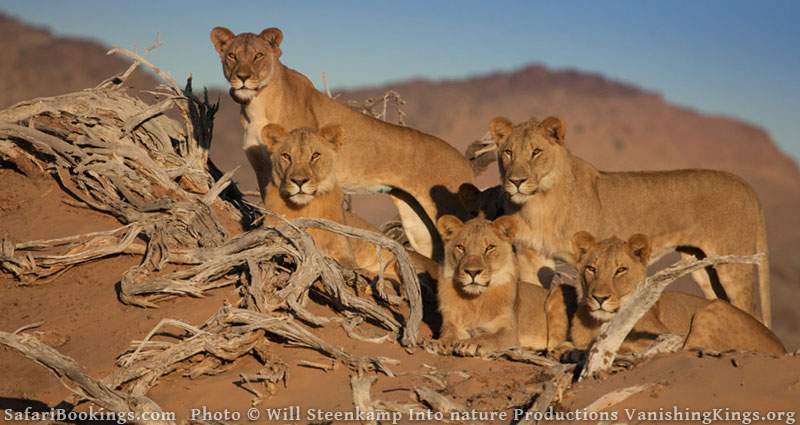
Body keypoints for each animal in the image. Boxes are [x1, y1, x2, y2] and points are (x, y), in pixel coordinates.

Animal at [209, 26, 478, 260]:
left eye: (258, 55)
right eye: (232, 56)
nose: (242, 78)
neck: (255, 104)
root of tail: (464, 162)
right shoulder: (264, 169)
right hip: (418, 225)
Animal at [260, 123, 440, 282]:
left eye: (315, 155)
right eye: (286, 156)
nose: (299, 181)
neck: (304, 208)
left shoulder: (344, 252)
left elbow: (349, 266)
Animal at [434, 214, 560, 352]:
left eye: (490, 248)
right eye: (461, 247)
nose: (472, 272)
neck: (475, 301)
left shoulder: (510, 333)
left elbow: (490, 337)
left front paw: (470, 343)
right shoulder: (451, 321)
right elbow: (448, 332)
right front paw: (443, 342)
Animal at [484, 115, 772, 324]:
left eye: (536, 152)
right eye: (508, 152)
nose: (516, 181)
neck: (539, 203)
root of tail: (747, 185)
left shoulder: (588, 258)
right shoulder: (532, 257)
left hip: (733, 265)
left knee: (751, 310)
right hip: (702, 266)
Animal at [548, 230, 784, 356]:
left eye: (621, 270)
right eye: (591, 268)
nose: (599, 298)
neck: (599, 323)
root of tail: (781, 348)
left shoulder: (661, 335)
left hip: (711, 310)